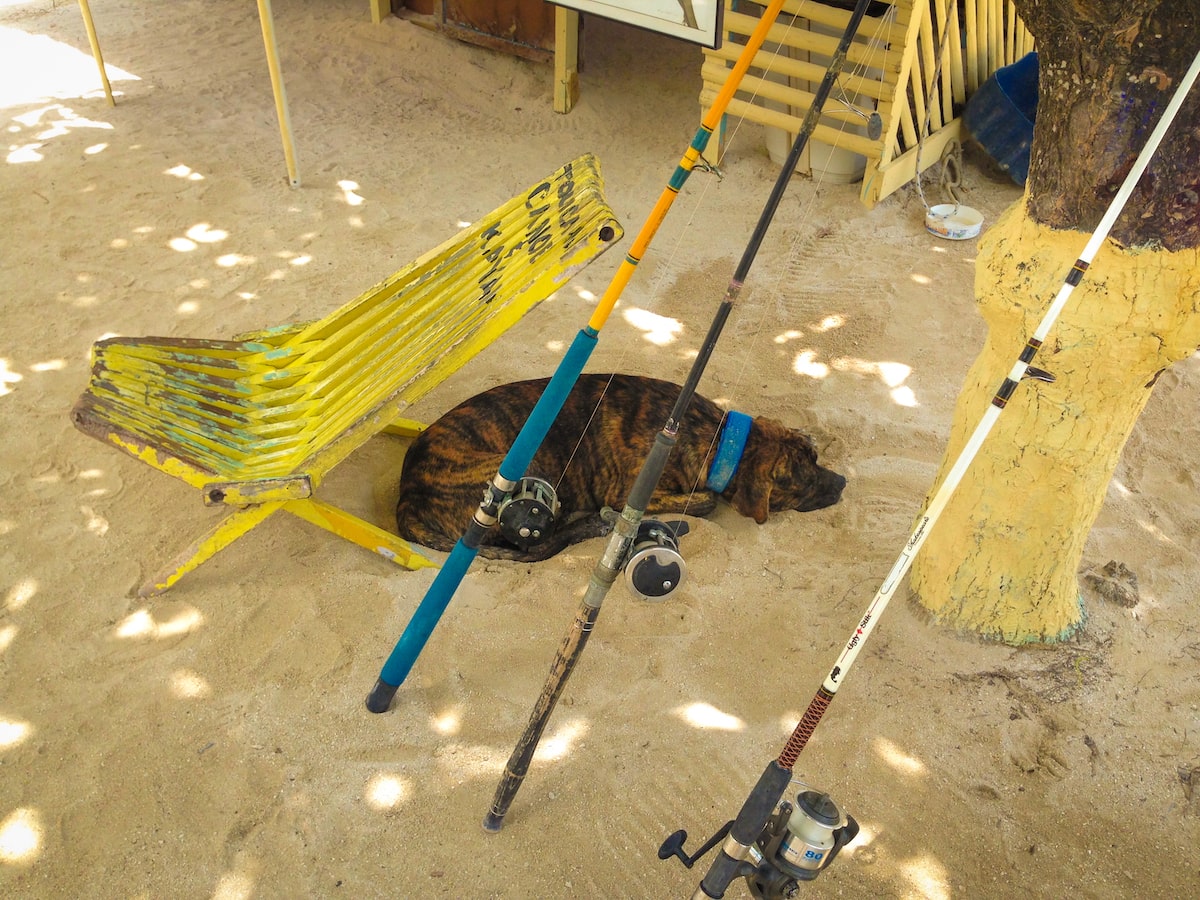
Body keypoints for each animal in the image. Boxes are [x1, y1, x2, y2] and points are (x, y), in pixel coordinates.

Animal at [393, 372, 844, 556]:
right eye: (803, 482)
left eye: (816, 456)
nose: (842, 483)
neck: (716, 438)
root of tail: (407, 496)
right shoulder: (628, 490)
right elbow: (706, 501)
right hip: (528, 471)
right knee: (533, 540)